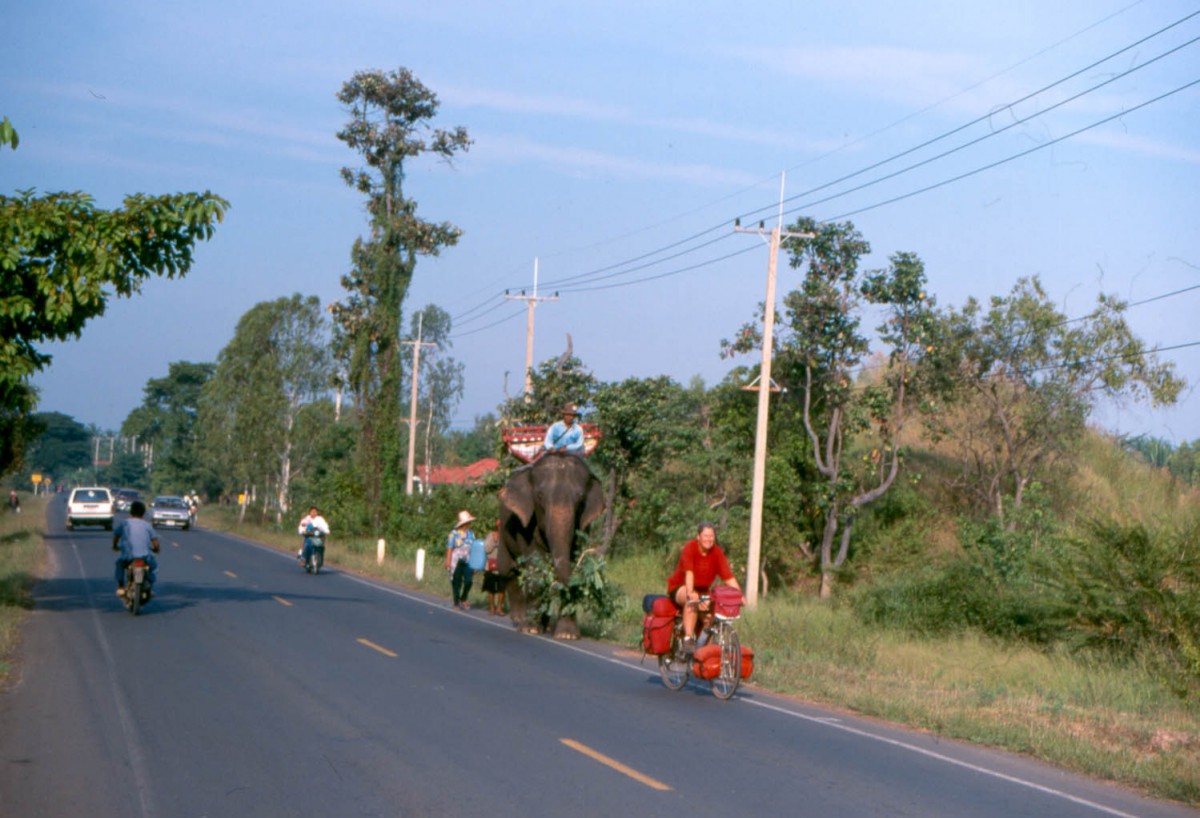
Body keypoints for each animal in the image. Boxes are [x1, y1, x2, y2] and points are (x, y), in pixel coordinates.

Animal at [499, 453, 609, 638]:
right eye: (540, 496)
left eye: (580, 498)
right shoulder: (525, 528)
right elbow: (536, 569)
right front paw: (529, 629)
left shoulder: (584, 529)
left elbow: (572, 564)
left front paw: (567, 635)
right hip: (502, 532)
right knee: (508, 571)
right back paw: (519, 619)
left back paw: (545, 626)